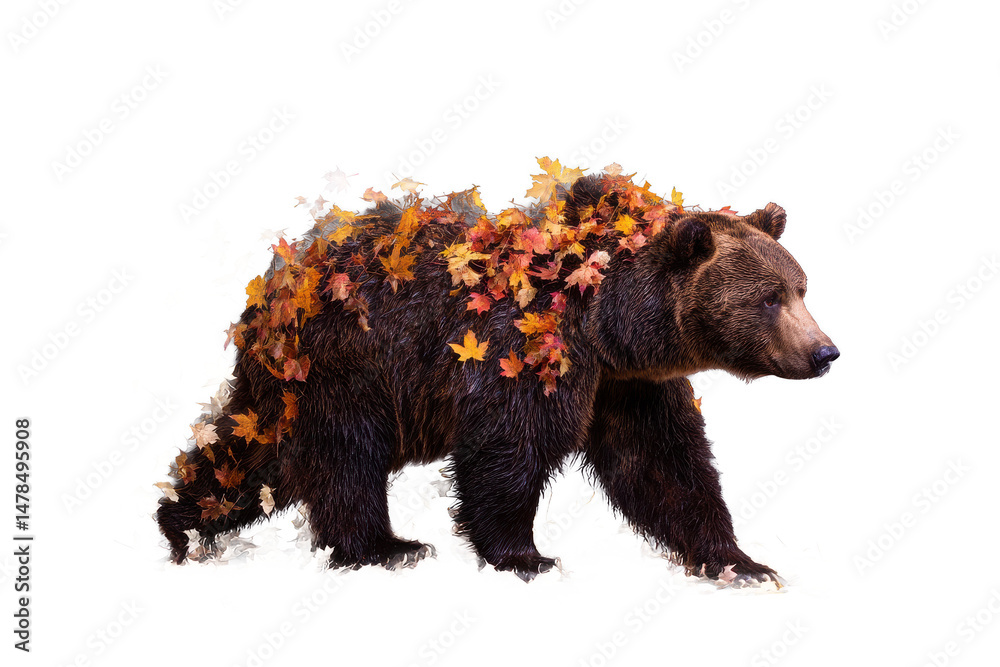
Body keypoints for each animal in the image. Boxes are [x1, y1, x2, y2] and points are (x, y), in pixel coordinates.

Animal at [156, 161, 839, 585]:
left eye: (801, 287)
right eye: (770, 298)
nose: (825, 351)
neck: (608, 320)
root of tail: (272, 289)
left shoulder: (627, 385)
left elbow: (663, 466)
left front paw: (741, 562)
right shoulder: (529, 350)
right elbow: (508, 448)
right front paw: (526, 555)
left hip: (292, 385)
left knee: (250, 453)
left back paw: (180, 524)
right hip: (348, 362)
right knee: (346, 457)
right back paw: (386, 547)